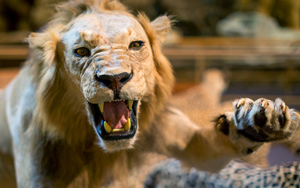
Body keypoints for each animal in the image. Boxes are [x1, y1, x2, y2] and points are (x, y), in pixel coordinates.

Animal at [0, 0, 300, 187]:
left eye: (135, 45)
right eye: (82, 51)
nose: (114, 78)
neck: (98, 149)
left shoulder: (177, 136)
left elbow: (211, 146)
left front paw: (259, 120)